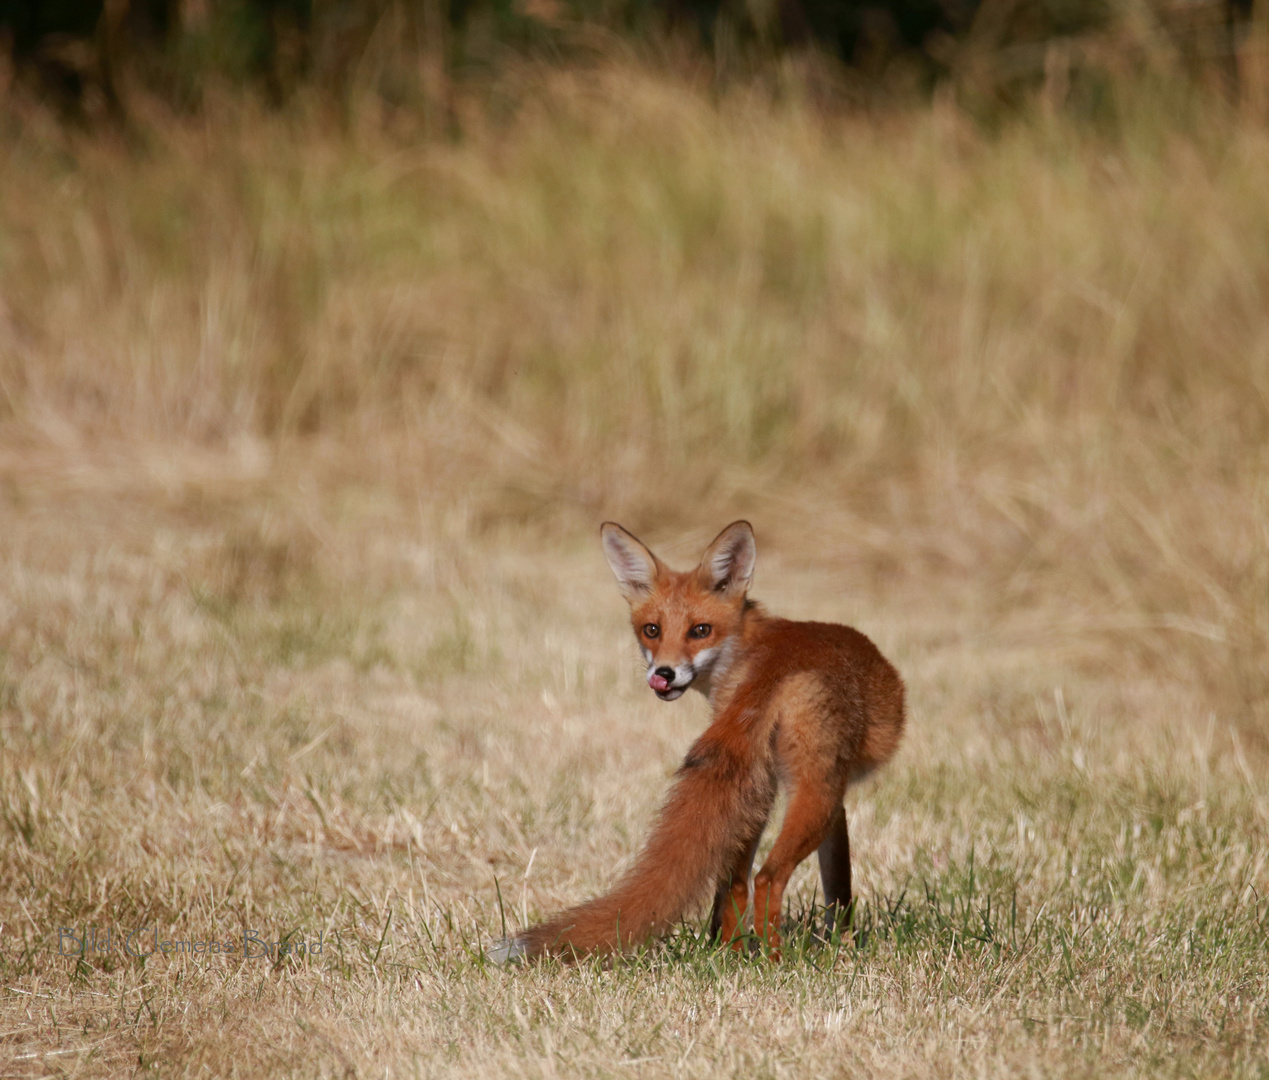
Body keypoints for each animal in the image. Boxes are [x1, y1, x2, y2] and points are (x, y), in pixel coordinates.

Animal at [489, 522, 908, 964]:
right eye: (652, 630)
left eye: (700, 630)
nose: (664, 674)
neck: (755, 641)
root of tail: (775, 667)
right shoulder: (837, 796)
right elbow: (839, 889)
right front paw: (843, 942)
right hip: (814, 794)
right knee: (768, 877)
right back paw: (775, 960)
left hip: (758, 796)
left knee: (736, 882)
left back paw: (731, 954)